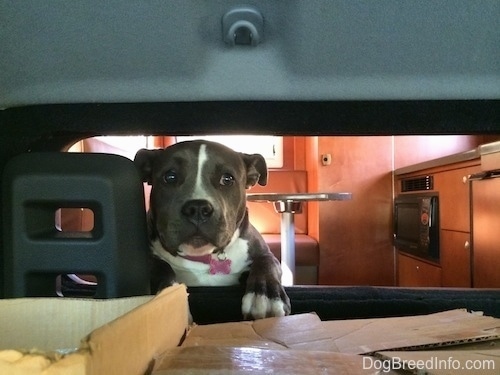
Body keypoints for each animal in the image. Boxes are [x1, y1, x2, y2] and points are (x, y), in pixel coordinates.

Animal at [133, 141, 292, 320]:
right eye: (170, 176)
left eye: (227, 179)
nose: (197, 208)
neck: (204, 257)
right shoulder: (149, 257)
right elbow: (160, 266)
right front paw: (171, 298)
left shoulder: (263, 251)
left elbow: (267, 262)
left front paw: (265, 296)